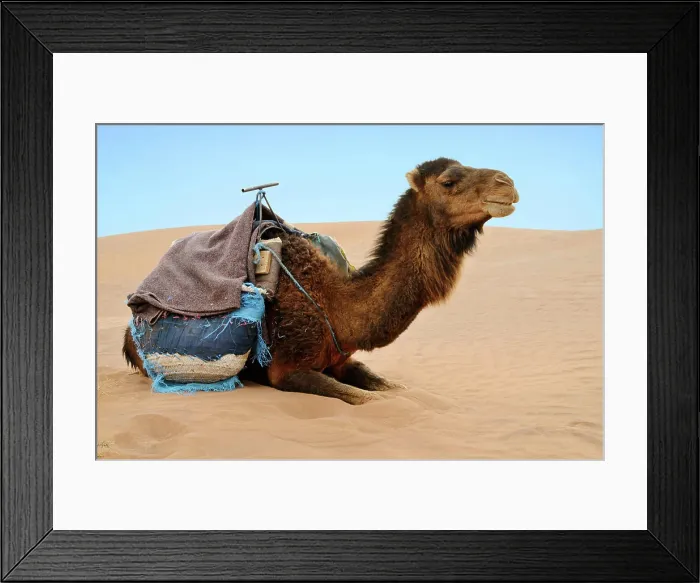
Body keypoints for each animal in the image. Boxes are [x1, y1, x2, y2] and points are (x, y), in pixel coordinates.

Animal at [123, 157, 519, 405]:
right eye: (449, 182)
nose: (508, 184)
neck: (335, 303)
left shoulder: (342, 360)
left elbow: (395, 389)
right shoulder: (287, 370)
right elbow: (368, 400)